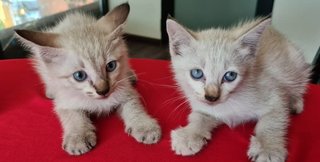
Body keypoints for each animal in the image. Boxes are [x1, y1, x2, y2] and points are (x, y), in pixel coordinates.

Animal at [15, 3, 161, 156]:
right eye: (79, 76)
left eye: (111, 66)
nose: (103, 90)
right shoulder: (65, 101)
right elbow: (73, 116)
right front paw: (78, 137)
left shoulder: (126, 91)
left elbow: (133, 106)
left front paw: (145, 126)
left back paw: (130, 74)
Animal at [168, 16, 310, 162]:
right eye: (197, 73)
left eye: (230, 76)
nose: (212, 97)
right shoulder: (204, 105)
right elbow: (199, 116)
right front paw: (189, 135)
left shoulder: (275, 96)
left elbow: (272, 122)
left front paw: (268, 148)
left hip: (296, 66)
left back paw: (295, 103)